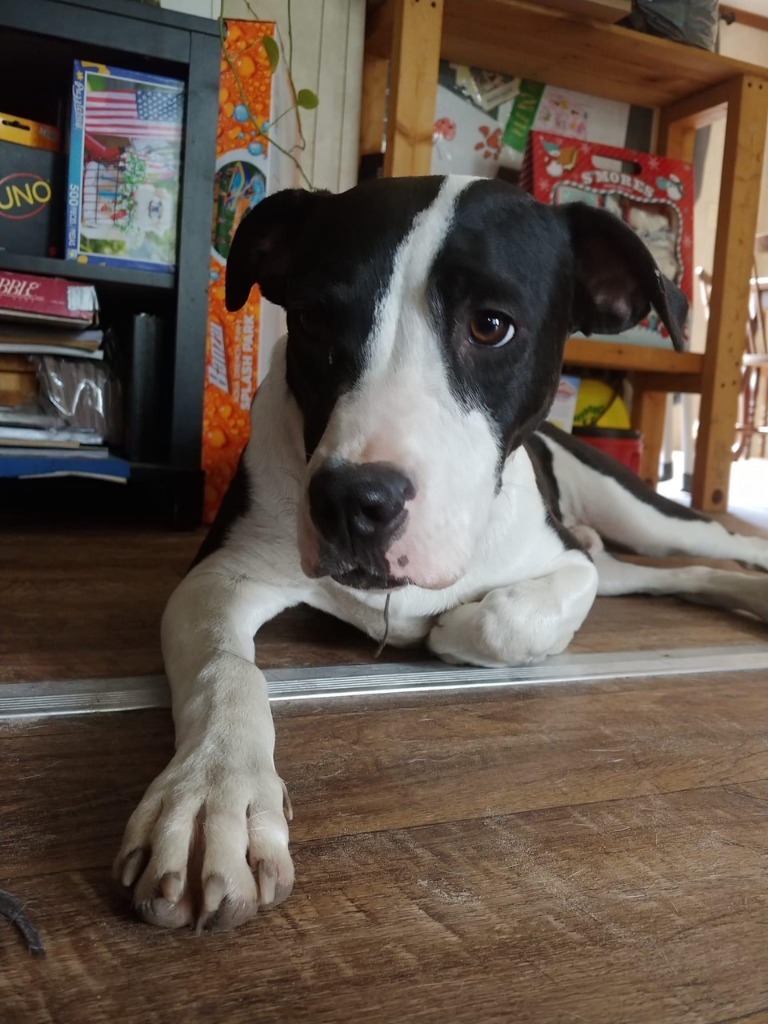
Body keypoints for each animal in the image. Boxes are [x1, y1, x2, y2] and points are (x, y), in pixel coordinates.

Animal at [114, 174, 768, 929]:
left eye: (492, 326)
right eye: (311, 320)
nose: (352, 504)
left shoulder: (565, 563)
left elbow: (507, 617)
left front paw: (453, 630)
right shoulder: (220, 575)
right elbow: (226, 671)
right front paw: (213, 797)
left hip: (639, 514)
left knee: (711, 544)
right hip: (620, 562)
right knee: (682, 574)